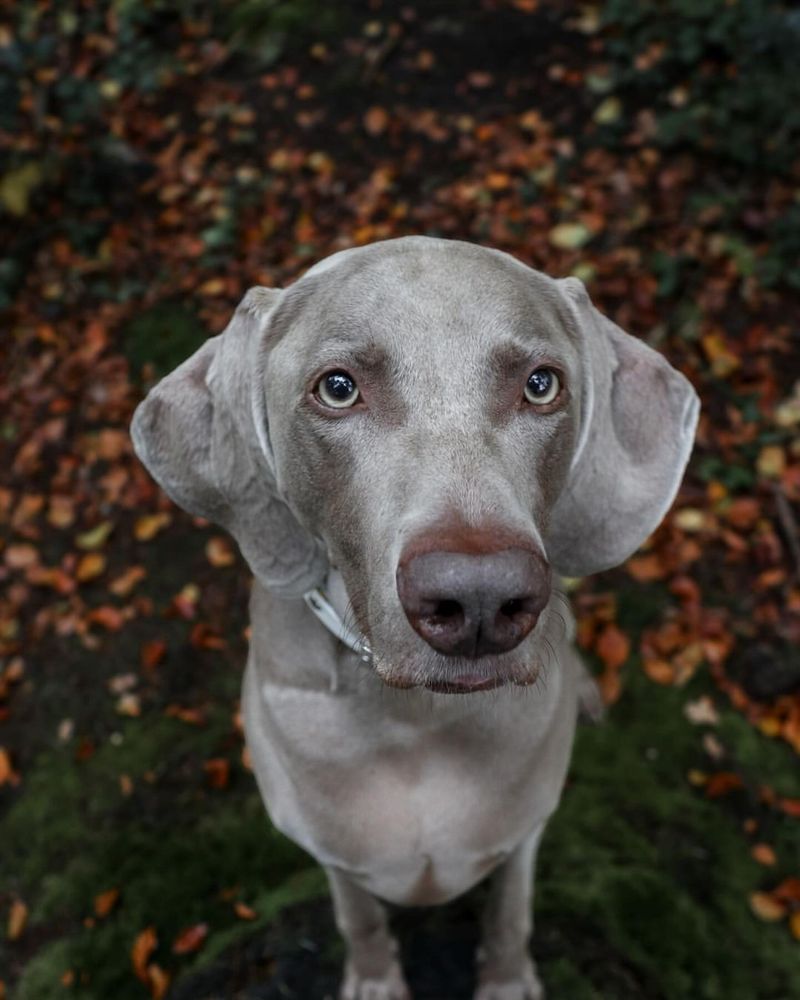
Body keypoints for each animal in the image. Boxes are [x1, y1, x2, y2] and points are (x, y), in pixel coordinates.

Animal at [131, 236, 700, 1000]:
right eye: (338, 388)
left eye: (541, 385)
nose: (481, 599)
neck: (415, 721)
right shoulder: (330, 849)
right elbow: (359, 917)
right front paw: (375, 980)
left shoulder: (525, 831)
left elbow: (510, 911)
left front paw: (506, 981)